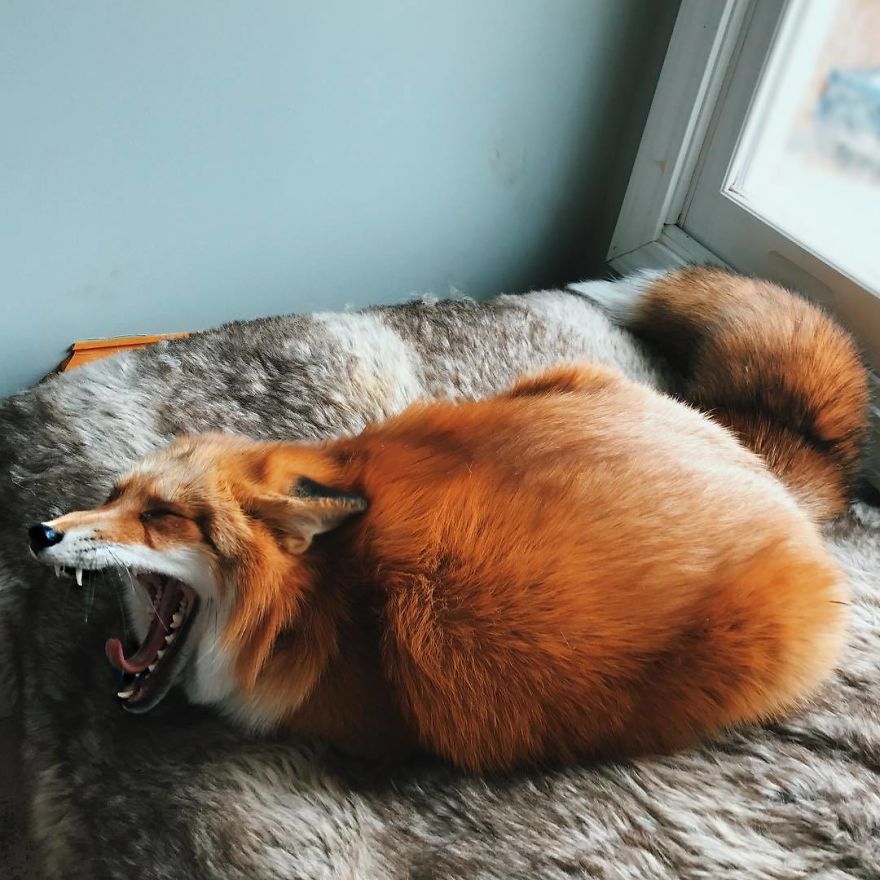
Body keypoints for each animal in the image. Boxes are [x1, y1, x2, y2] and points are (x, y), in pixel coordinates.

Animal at [28, 267, 868, 773]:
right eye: (114, 494)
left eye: (163, 516)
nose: (41, 532)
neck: (312, 599)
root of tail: (759, 470)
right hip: (554, 379)